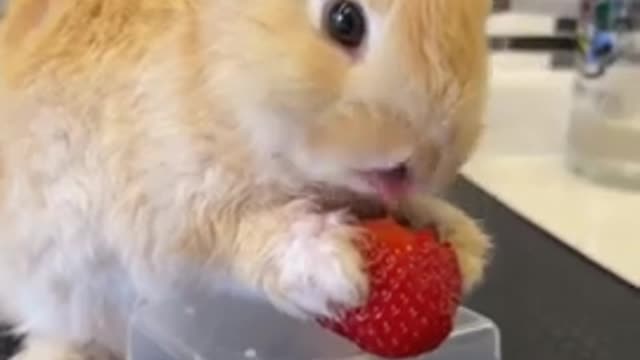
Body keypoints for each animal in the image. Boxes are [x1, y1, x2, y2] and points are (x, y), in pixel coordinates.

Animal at [0, 0, 492, 358]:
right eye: (345, 20)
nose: (427, 158)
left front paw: (461, 242)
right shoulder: (169, 211)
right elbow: (234, 236)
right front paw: (327, 265)